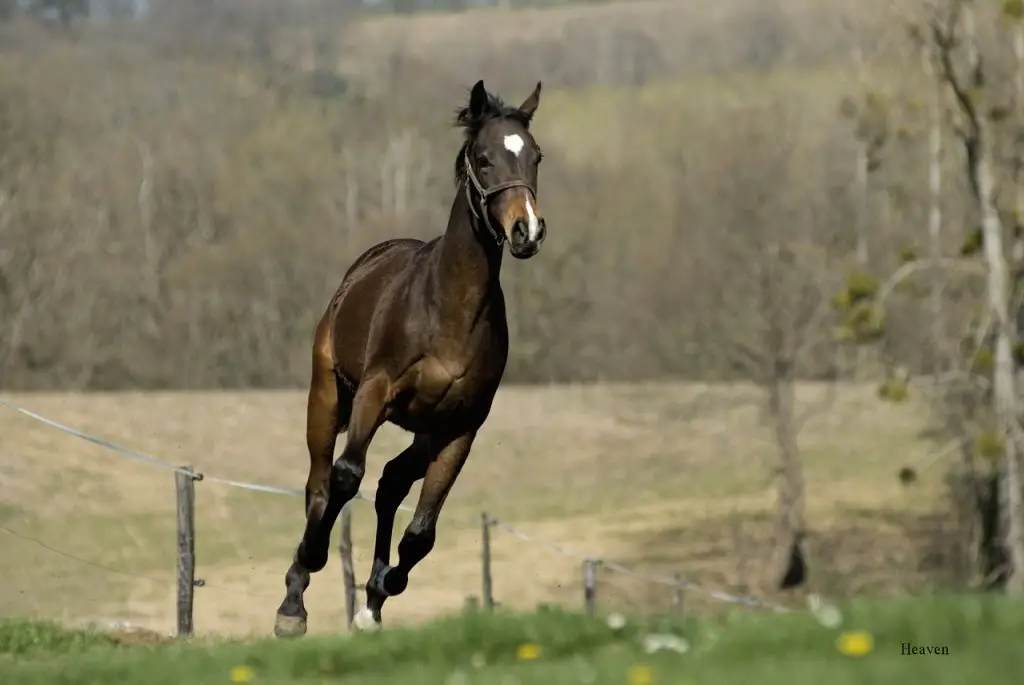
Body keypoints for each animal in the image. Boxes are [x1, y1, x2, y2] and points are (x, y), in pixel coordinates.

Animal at [272, 80, 544, 634]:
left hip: (424, 428)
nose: (526, 231)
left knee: (391, 482)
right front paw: (309, 575)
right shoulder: (374, 394)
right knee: (321, 483)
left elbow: (421, 533)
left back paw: (371, 603)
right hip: (327, 394)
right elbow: (345, 476)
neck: (449, 309)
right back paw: (295, 598)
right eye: (483, 159)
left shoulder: (461, 426)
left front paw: (378, 594)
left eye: (536, 156)